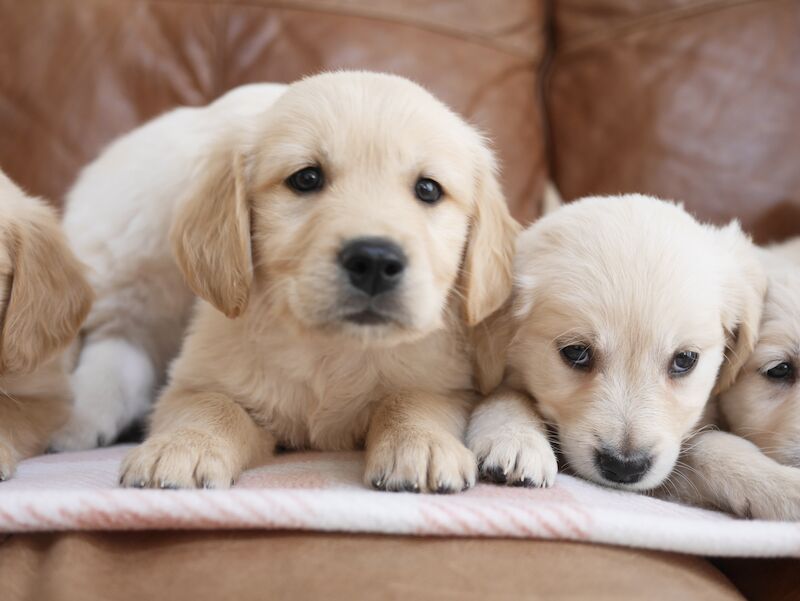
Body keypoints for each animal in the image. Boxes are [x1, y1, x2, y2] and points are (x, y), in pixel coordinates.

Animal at [51, 71, 520, 492]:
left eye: (428, 189)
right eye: (306, 178)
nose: (373, 260)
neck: (332, 349)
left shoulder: (445, 379)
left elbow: (412, 399)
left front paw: (420, 445)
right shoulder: (196, 375)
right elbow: (210, 404)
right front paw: (182, 447)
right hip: (130, 254)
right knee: (116, 339)